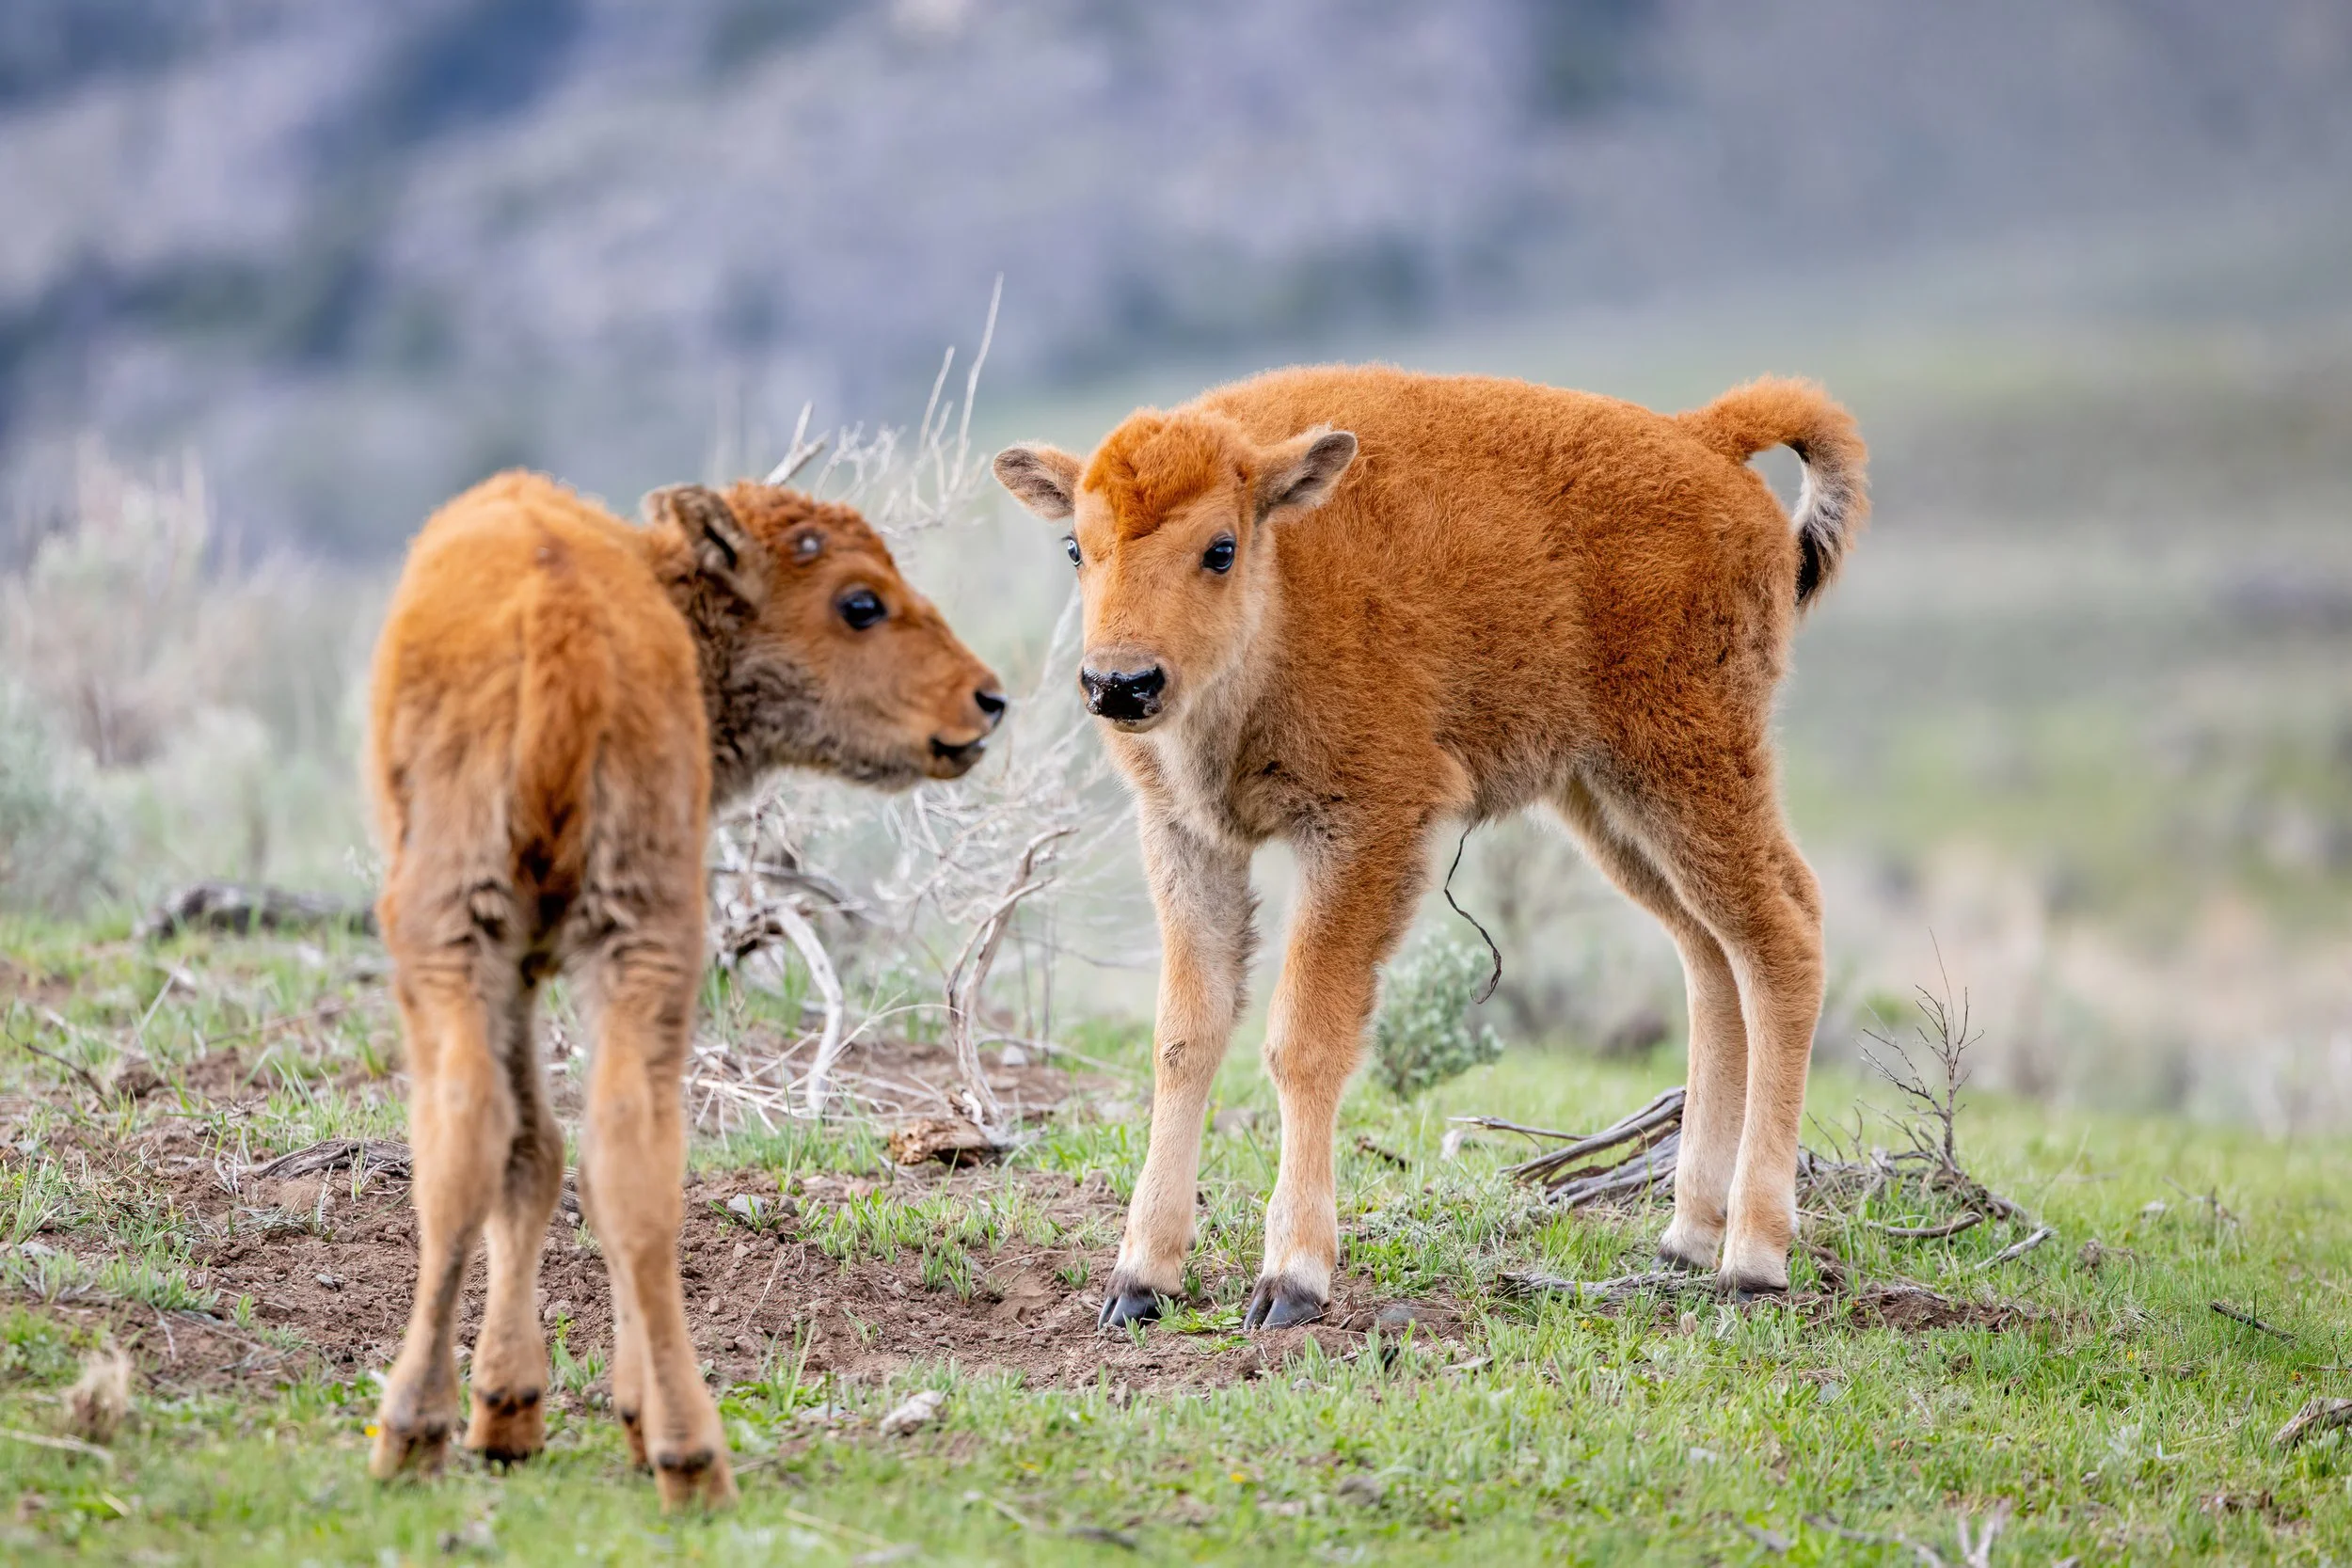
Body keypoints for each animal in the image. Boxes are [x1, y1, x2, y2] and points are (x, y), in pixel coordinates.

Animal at [365, 471, 1002, 1505]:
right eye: (860, 602)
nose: (987, 700)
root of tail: (560, 626)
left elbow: (528, 1156)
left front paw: (511, 1409)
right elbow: (540, 1156)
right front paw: (520, 1408)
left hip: (467, 937)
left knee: (482, 1148)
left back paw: (418, 1433)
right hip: (606, 938)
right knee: (618, 1164)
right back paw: (679, 1449)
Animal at [993, 365, 1866, 1328]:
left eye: (1220, 548)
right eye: (1076, 547)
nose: (1121, 683)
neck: (1284, 578)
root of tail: (1706, 436)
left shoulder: (1364, 828)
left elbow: (1305, 1039)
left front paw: (1290, 1279)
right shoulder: (1187, 837)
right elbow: (1186, 1037)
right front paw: (1139, 1280)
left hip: (1688, 763)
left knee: (1782, 935)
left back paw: (1752, 1257)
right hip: (1609, 799)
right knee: (1712, 958)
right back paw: (1684, 1240)